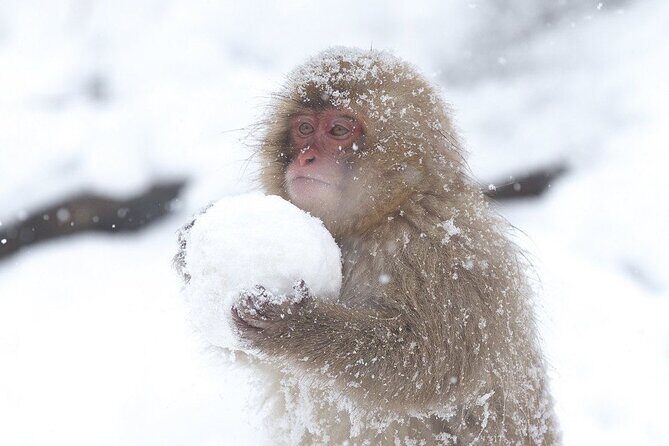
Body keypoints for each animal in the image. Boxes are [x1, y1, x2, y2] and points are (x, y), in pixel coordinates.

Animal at [176, 47, 559, 445]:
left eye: (339, 131)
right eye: (304, 129)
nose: (306, 157)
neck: (385, 215)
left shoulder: (448, 253)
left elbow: (428, 366)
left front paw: (295, 326)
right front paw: (188, 249)